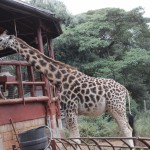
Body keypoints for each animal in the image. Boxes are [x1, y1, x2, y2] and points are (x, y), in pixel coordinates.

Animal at [0, 31, 135, 148]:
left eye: (1, 39)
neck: (59, 79)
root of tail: (124, 89)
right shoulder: (69, 111)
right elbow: (74, 139)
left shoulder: (70, 109)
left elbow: (75, 140)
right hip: (112, 109)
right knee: (125, 129)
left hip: (117, 107)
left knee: (128, 129)